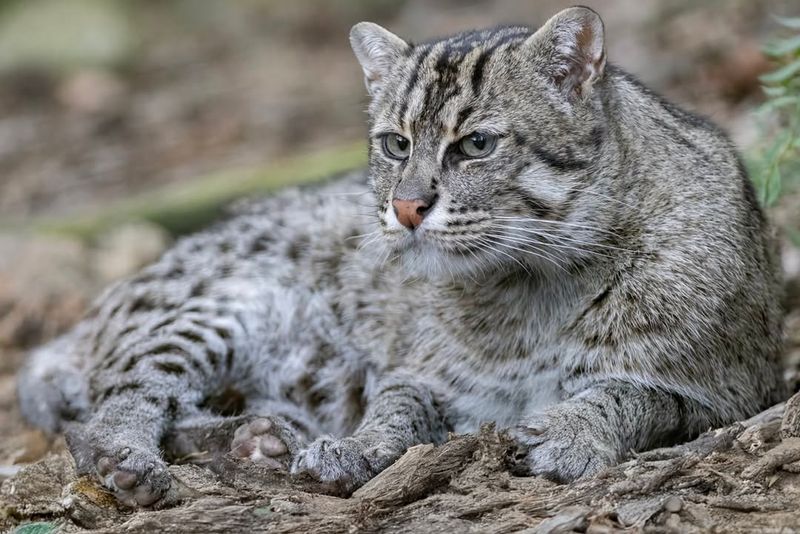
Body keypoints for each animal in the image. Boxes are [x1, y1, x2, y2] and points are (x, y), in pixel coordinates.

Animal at [15, 7, 784, 510]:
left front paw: (569, 430)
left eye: (477, 145)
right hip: (221, 305)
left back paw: (258, 436)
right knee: (116, 403)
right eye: (395, 144)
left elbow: (630, 392)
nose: (407, 207)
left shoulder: (727, 396)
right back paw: (140, 454)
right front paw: (361, 448)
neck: (533, 280)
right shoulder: (420, 373)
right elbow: (396, 408)